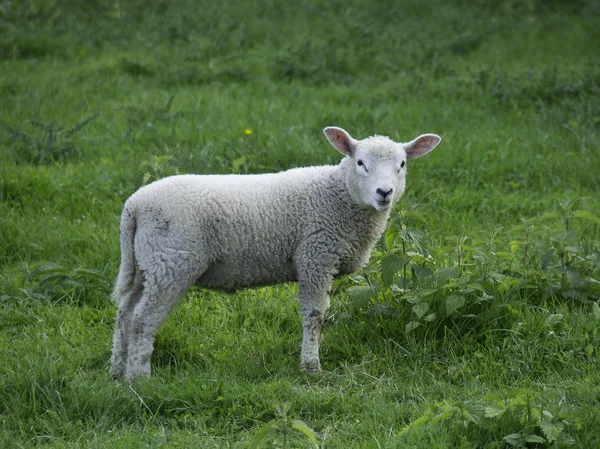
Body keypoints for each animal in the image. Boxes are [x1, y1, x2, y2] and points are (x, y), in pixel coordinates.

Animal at [110, 125, 440, 378]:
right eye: (360, 163)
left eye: (402, 165)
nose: (384, 193)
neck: (339, 196)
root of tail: (134, 205)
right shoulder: (315, 256)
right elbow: (315, 314)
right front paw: (311, 367)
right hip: (172, 262)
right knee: (142, 319)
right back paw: (139, 378)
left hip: (147, 264)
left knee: (125, 312)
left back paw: (116, 371)